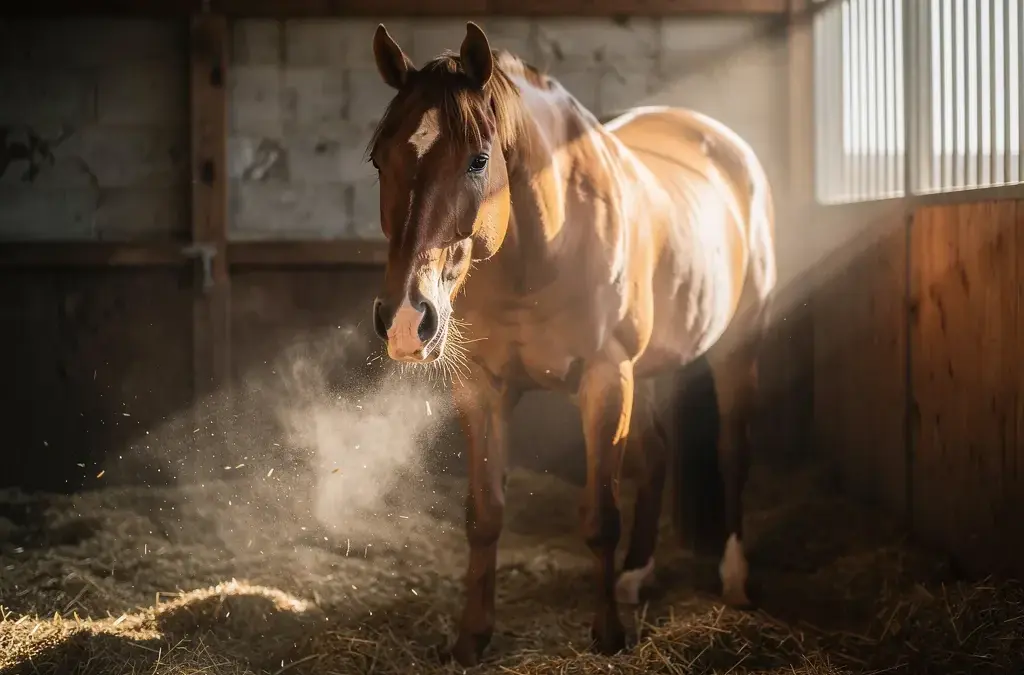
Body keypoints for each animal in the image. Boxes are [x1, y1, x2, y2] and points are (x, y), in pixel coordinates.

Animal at [366, 22, 777, 666]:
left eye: (478, 160)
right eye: (379, 160)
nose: (408, 320)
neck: (540, 251)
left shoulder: (605, 381)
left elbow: (601, 516)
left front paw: (608, 636)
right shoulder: (481, 388)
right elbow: (484, 515)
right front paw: (471, 637)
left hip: (736, 347)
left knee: (733, 451)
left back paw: (733, 578)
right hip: (649, 370)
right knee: (657, 453)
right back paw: (636, 575)